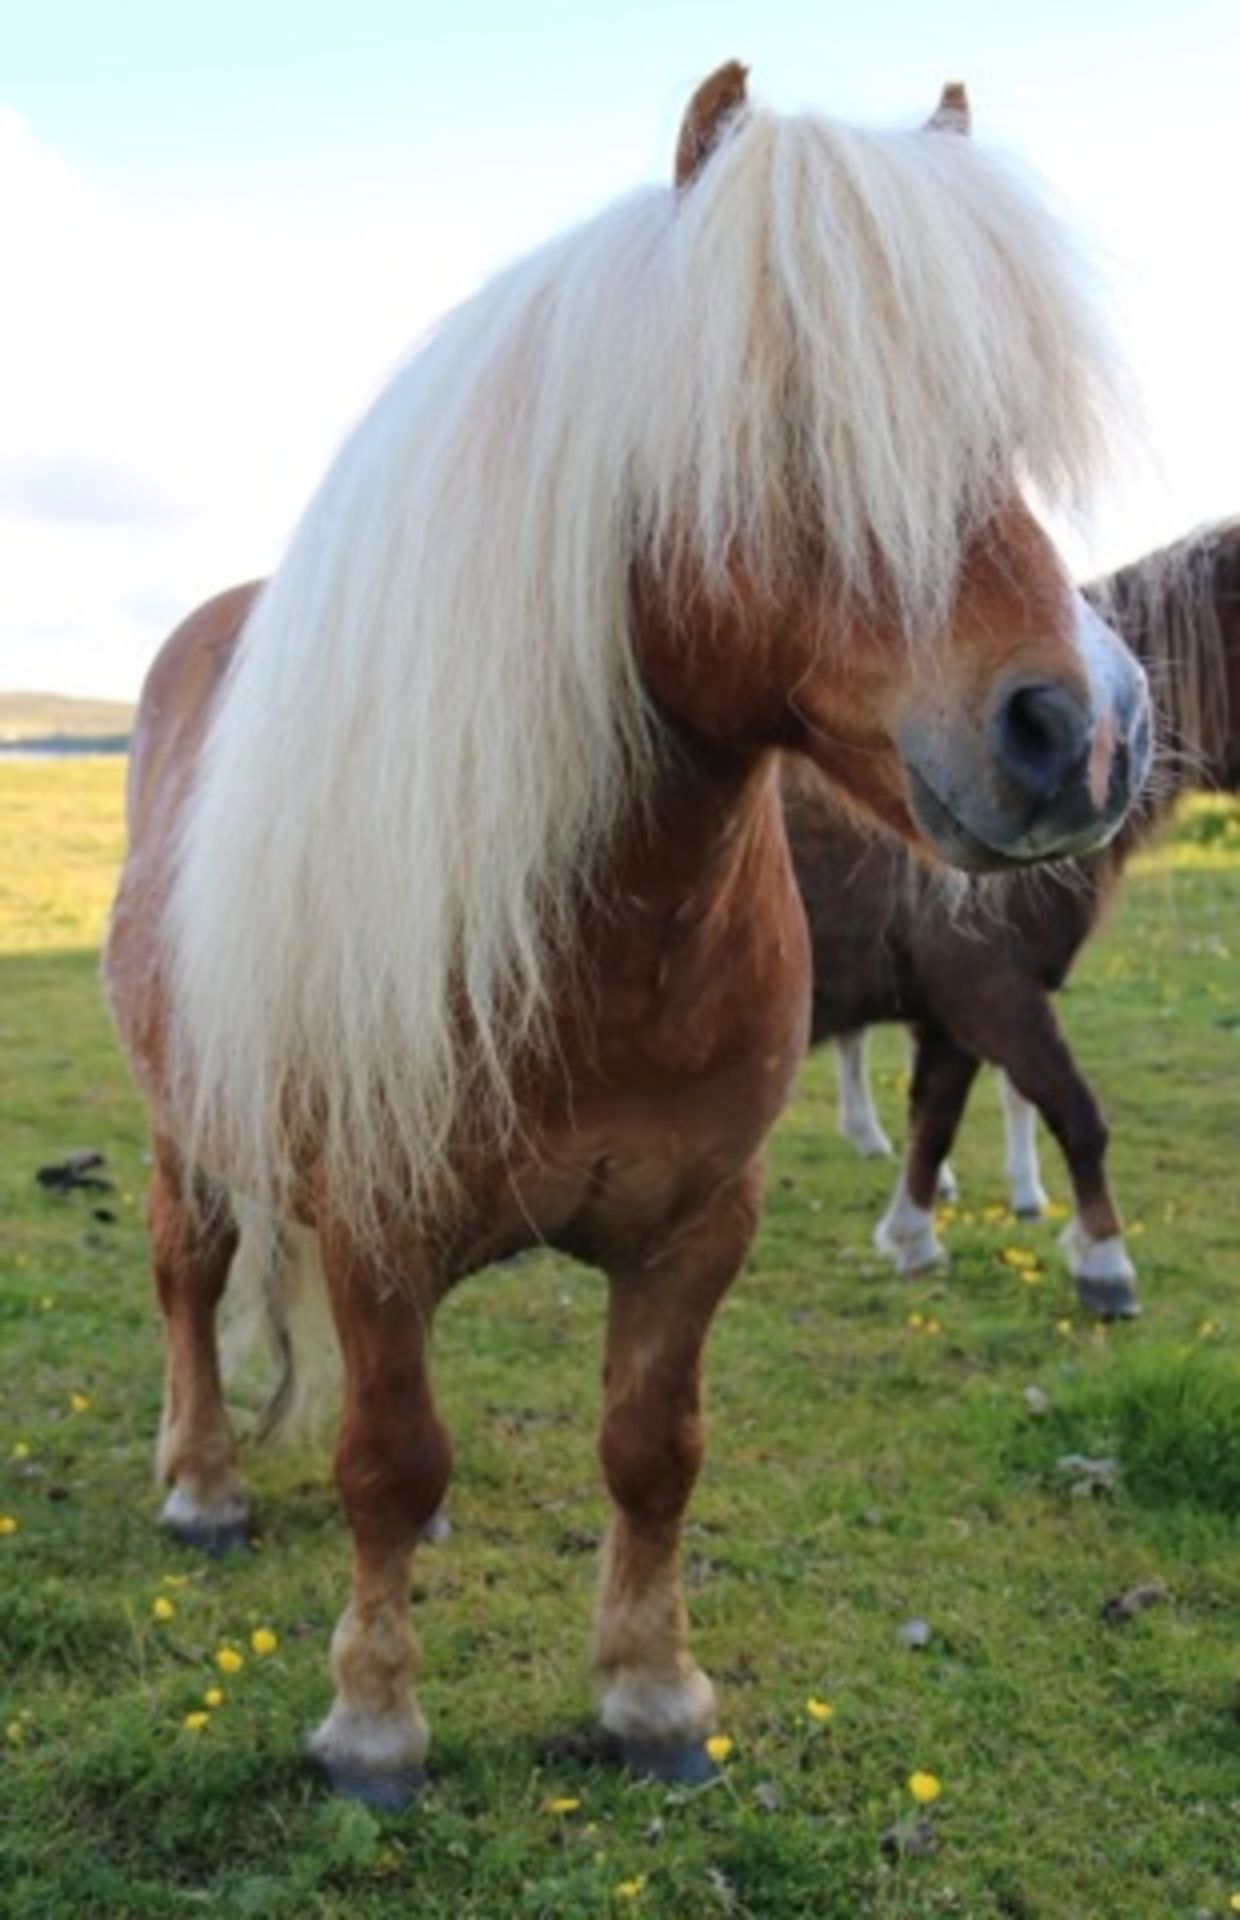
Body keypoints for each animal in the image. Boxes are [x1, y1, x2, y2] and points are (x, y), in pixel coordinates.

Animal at [102, 63, 1151, 1797]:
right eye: (781, 424)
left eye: (997, 435)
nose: (1081, 731)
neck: (601, 944)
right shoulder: (375, 1222)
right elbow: (386, 1455)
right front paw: (374, 1723)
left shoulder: (697, 1225)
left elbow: (651, 1454)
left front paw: (653, 1698)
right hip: (189, 1119)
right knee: (192, 1277)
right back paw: (200, 1484)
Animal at [790, 518, 1236, 1313]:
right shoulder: (993, 994)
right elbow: (1075, 1114)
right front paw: (1105, 1263)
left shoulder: (954, 1012)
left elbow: (935, 1119)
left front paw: (913, 1239)